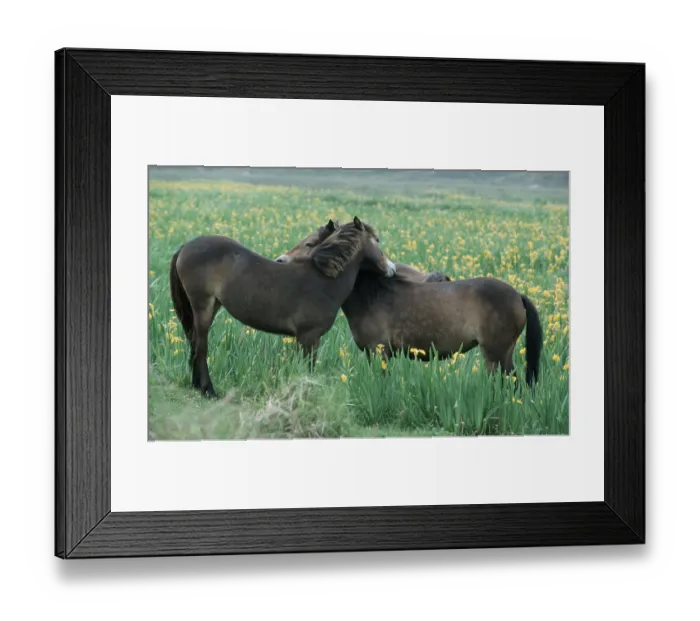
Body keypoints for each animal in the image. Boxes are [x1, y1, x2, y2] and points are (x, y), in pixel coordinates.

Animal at [170, 217, 396, 398]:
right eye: (377, 240)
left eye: (310, 242)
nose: (391, 268)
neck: (323, 280)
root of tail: (186, 246)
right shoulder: (308, 337)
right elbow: (308, 368)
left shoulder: (304, 339)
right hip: (202, 306)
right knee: (200, 346)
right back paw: (208, 390)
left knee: (193, 342)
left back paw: (197, 385)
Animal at [277, 224, 543, 385]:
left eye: (311, 243)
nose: (280, 260)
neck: (374, 295)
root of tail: (517, 295)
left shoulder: (380, 351)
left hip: (495, 355)